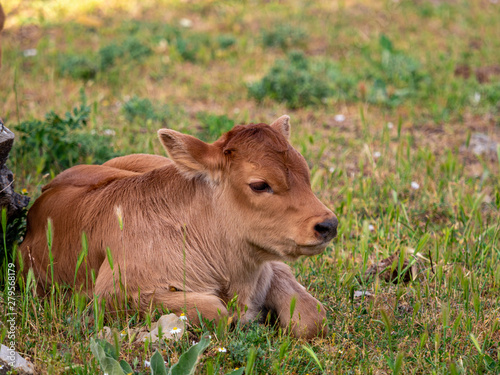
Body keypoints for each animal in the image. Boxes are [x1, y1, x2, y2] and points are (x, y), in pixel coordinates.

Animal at [20, 116, 340, 340]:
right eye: (260, 184)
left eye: (306, 172)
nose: (328, 224)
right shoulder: (115, 294)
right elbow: (216, 311)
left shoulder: (270, 266)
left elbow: (312, 317)